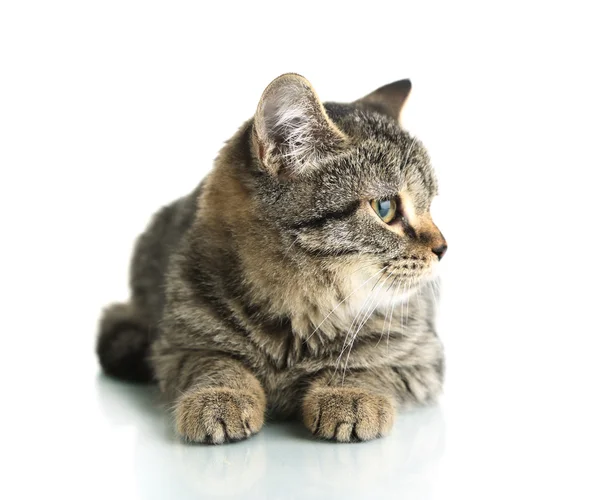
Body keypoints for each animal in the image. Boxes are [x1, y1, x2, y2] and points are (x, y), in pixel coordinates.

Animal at [97, 72, 446, 444]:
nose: (443, 248)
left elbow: (368, 365)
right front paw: (221, 396)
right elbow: (214, 362)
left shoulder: (422, 357)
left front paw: (347, 393)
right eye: (385, 208)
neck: (300, 315)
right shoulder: (177, 347)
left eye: (429, 205)